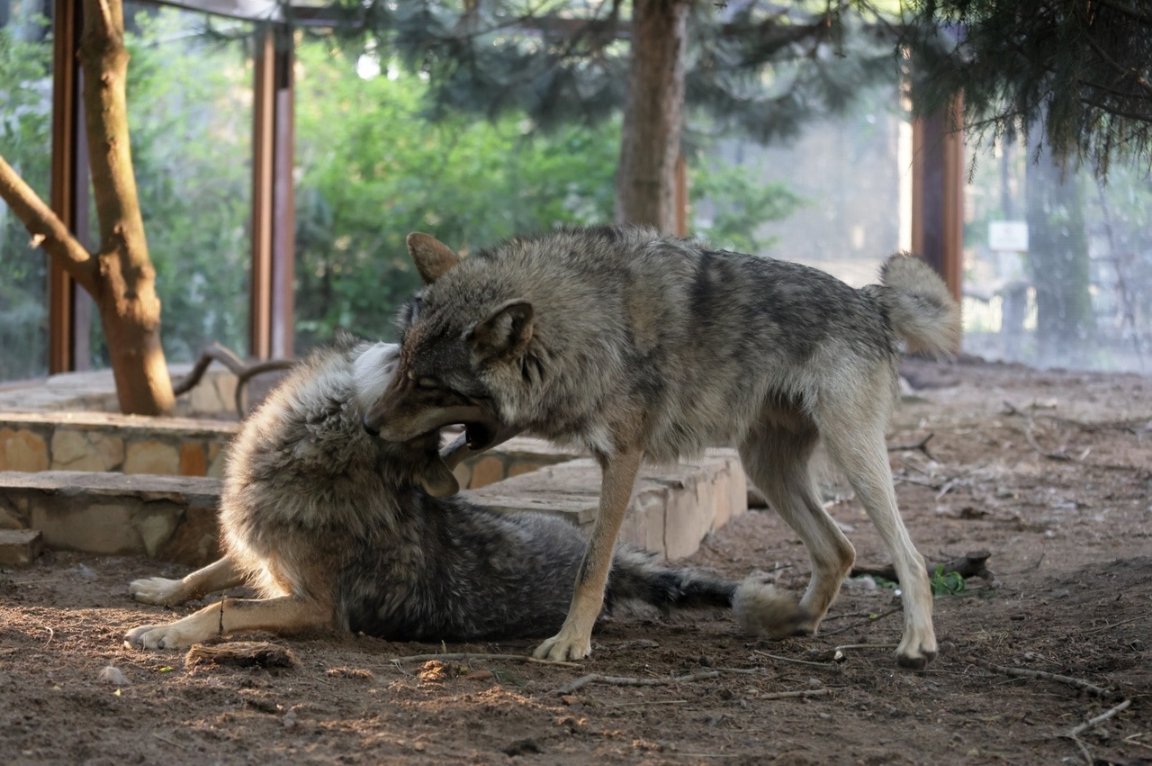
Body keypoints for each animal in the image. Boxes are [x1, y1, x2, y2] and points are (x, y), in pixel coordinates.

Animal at [123, 331, 783, 649]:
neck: (312, 455)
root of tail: (612, 567)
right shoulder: (259, 555)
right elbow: (206, 573)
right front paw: (159, 592)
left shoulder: (318, 608)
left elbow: (225, 608)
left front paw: (166, 633)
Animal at [364, 224, 958, 668]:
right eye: (403, 366)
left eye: (428, 385)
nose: (369, 425)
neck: (589, 320)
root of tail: (871, 300)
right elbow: (460, 453)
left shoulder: (623, 458)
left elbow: (592, 565)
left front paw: (571, 642)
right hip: (765, 468)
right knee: (841, 550)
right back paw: (792, 622)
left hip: (852, 458)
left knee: (909, 557)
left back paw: (916, 645)